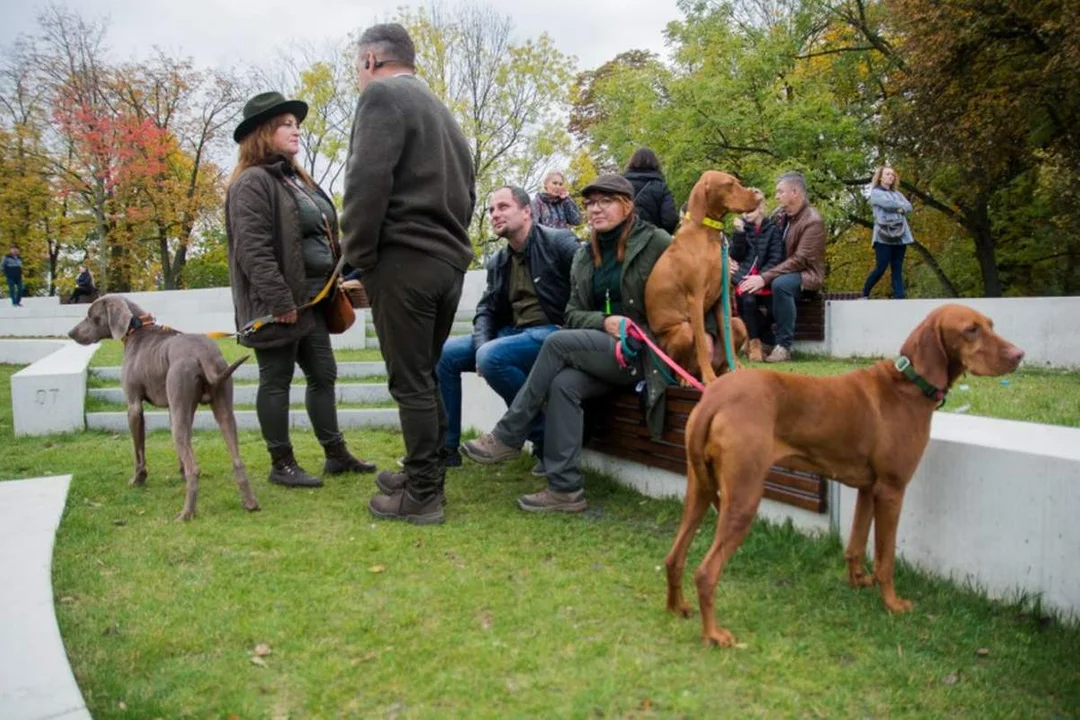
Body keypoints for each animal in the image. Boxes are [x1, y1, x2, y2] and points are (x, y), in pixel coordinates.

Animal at [648, 170, 760, 382]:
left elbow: (727, 338)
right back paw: (687, 378)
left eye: (737, 181)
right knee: (680, 364)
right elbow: (700, 341)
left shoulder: (721, 298)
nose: (759, 196)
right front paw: (709, 378)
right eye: (729, 184)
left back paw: (724, 371)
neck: (707, 234)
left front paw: (737, 370)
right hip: (683, 330)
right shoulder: (696, 298)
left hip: (739, 323)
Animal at [660, 304, 1023, 647]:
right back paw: (714, 635)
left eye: (990, 325)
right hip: (744, 498)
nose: (1019, 355)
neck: (909, 384)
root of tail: (714, 397)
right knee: (706, 572)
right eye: (971, 330)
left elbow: (856, 544)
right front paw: (892, 603)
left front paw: (857, 581)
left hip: (699, 491)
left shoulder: (867, 488)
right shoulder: (892, 489)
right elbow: (886, 558)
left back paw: (677, 608)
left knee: (674, 557)